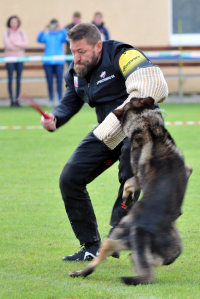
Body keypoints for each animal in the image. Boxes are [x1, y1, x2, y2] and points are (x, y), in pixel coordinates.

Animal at [69, 98, 192, 286]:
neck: (147, 125)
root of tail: (143, 229)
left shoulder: (139, 177)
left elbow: (127, 183)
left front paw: (127, 200)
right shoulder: (186, 169)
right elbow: (128, 183)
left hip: (128, 238)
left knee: (109, 256)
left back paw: (81, 271)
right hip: (173, 246)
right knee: (148, 262)